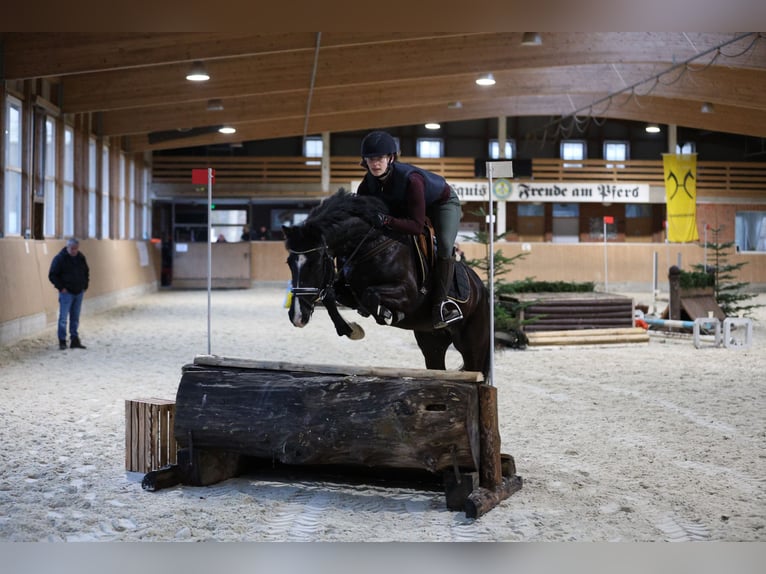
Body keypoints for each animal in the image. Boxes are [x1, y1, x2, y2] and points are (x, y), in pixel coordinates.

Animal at [284, 190, 492, 382]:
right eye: (289, 263)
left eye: (315, 263)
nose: (297, 317)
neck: (369, 244)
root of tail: (482, 288)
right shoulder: (348, 292)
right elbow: (330, 297)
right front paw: (351, 330)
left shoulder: (409, 296)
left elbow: (371, 294)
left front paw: (387, 314)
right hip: (432, 341)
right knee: (437, 366)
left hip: (472, 343)